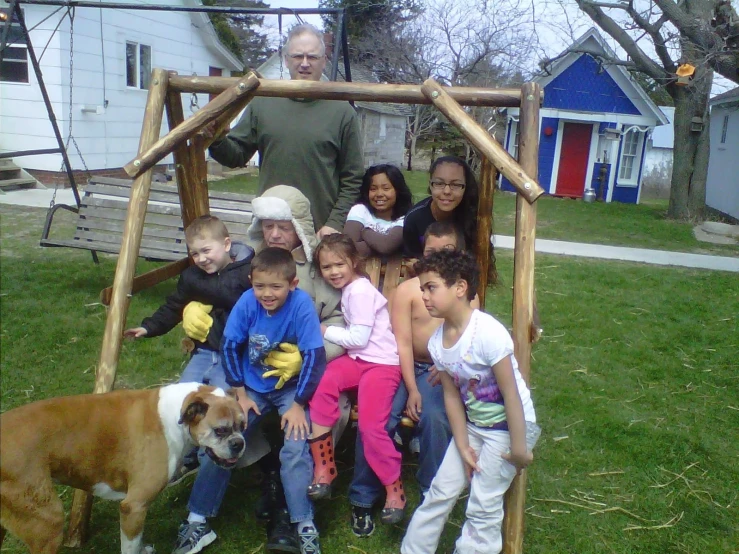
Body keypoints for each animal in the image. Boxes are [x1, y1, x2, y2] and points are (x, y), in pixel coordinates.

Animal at [0, 382, 249, 552]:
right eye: (220, 430)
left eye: (243, 425)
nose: (239, 443)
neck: (176, 415)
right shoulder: (134, 506)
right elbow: (130, 546)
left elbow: (137, 542)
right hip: (48, 522)